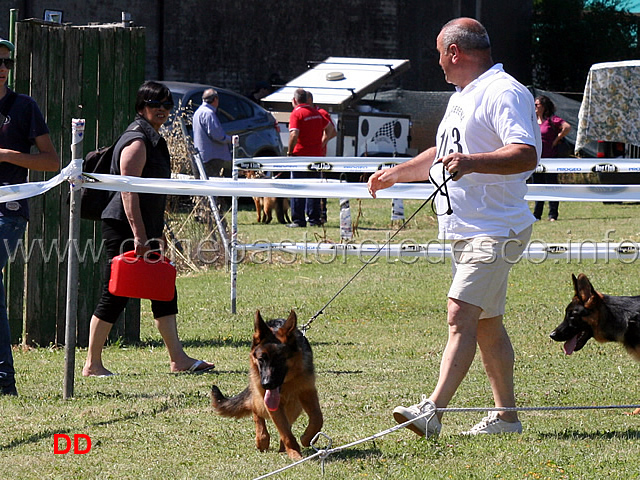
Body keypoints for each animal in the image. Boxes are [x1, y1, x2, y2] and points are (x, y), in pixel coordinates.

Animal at [210, 310, 322, 460]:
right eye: (261, 359)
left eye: (279, 359)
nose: (266, 384)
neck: (286, 382)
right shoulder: (272, 403)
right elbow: (285, 432)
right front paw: (294, 453)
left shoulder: (308, 391)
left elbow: (317, 417)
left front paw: (307, 438)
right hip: (262, 398)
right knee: (256, 410)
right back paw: (262, 439)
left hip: (294, 405)